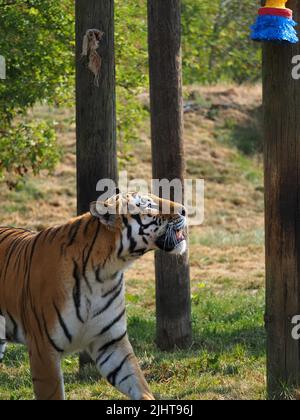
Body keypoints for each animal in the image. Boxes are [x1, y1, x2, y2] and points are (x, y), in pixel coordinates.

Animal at [0, 193, 188, 400]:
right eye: (148, 205)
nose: (185, 210)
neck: (105, 273)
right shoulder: (44, 349)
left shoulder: (110, 342)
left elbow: (138, 383)